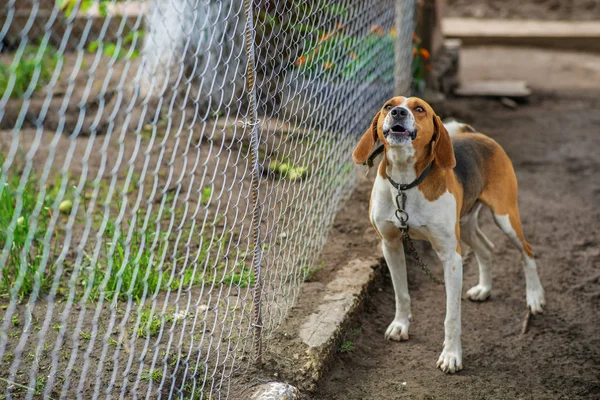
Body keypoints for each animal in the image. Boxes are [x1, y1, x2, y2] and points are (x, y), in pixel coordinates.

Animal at [354, 98, 548, 374]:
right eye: (387, 106)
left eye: (419, 109)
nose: (398, 112)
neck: (405, 183)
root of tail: (474, 133)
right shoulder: (390, 245)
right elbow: (401, 293)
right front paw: (401, 325)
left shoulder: (451, 258)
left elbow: (451, 316)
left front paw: (451, 356)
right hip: (465, 226)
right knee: (486, 248)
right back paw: (484, 289)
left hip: (506, 217)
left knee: (527, 251)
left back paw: (534, 297)